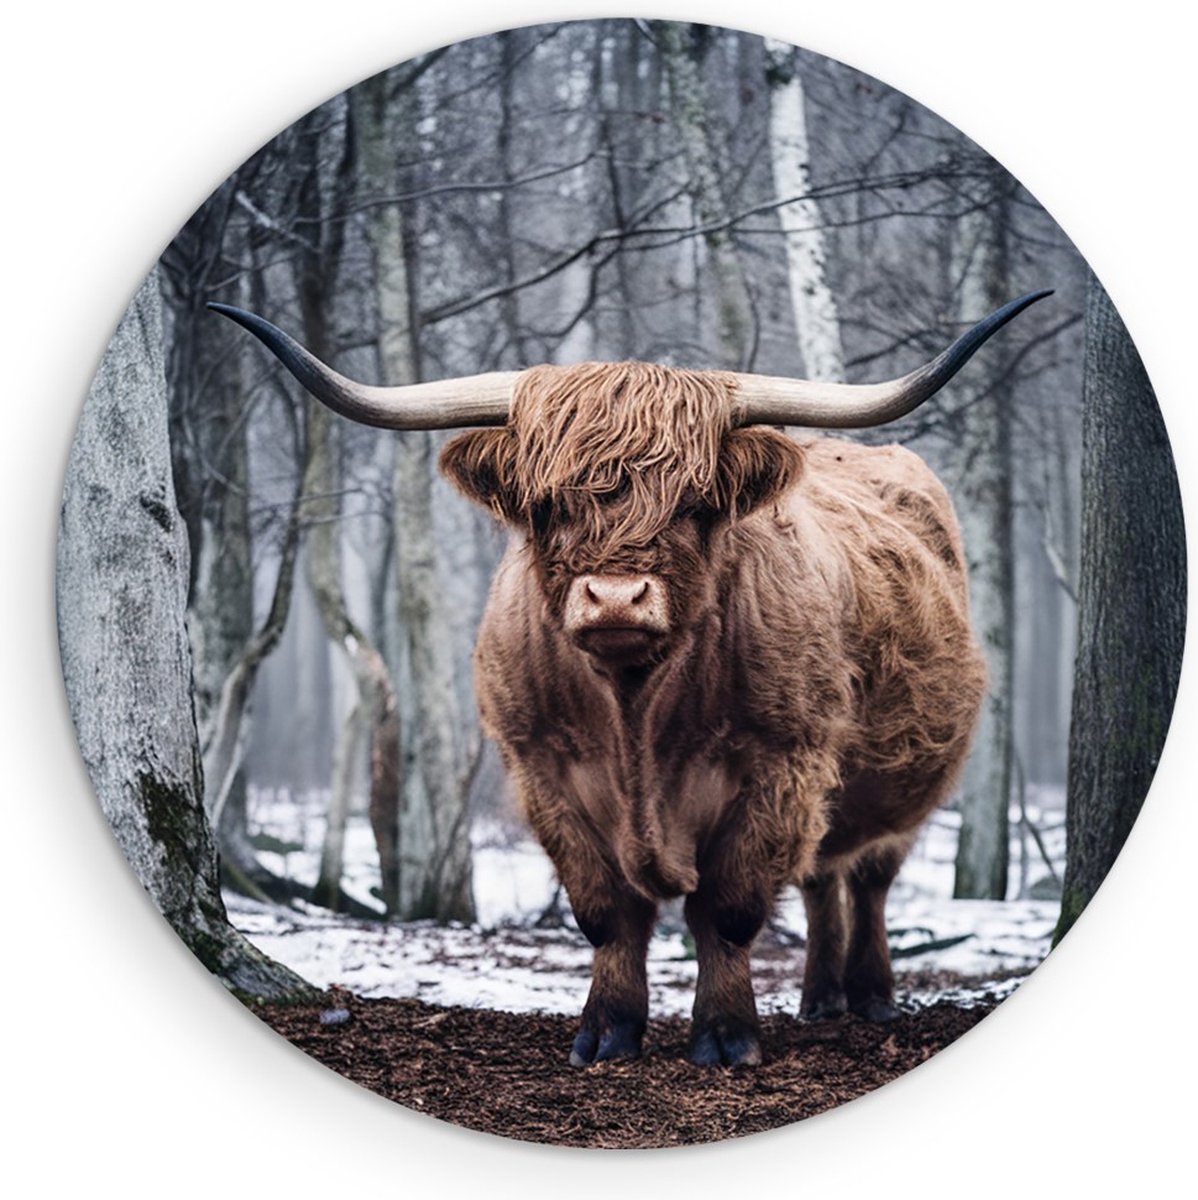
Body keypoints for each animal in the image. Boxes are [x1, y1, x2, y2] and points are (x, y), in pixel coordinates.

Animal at [212, 289, 1048, 1067]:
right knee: (820, 879)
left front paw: (725, 1036)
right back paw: (819, 1000)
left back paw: (869, 998)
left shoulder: (781, 765)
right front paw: (607, 1033)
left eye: (695, 504)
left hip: (898, 784)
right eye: (546, 506)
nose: (615, 598)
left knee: (868, 878)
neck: (635, 710)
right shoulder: (547, 773)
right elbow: (607, 912)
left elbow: (729, 909)